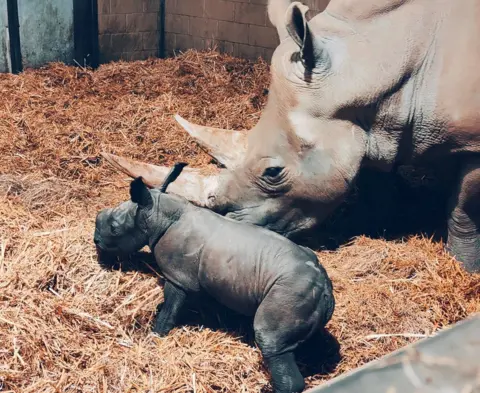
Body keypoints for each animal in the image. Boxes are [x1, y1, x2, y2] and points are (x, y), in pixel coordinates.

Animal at [94, 163, 334, 392]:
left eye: (114, 229)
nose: (96, 239)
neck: (157, 213)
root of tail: (323, 288)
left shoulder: (178, 277)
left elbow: (169, 311)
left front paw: (155, 336)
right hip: (303, 294)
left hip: (288, 293)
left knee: (270, 341)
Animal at [101, 0, 480, 270]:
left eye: (273, 172)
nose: (227, 227)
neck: (369, 61)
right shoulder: (372, 122)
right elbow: (375, 180)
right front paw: (381, 226)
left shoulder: (471, 142)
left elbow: (464, 209)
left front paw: (464, 267)